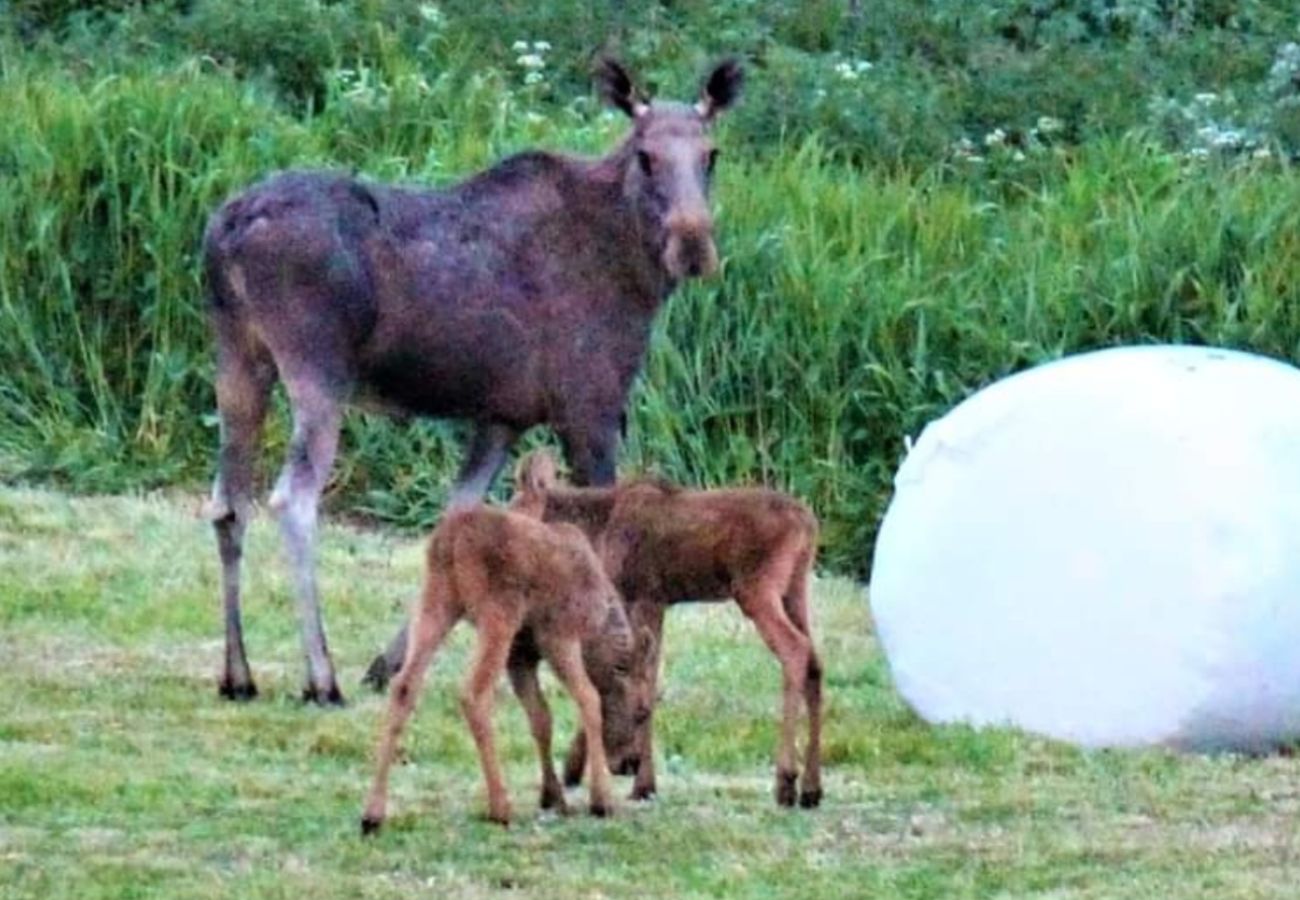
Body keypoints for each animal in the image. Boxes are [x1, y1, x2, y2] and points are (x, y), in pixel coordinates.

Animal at [195, 54, 743, 702]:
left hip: (238, 359)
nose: (693, 245)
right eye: (646, 156)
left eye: (711, 154)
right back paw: (320, 677)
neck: (636, 273)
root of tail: (227, 228)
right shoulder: (592, 408)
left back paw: (238, 674)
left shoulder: (502, 417)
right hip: (316, 368)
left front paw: (389, 663)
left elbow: (455, 517)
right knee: (292, 500)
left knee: (228, 503)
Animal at [514, 452, 821, 811]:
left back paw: (786, 780)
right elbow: (643, 678)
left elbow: (634, 678)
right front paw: (637, 778)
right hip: (795, 590)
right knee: (815, 662)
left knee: (795, 650)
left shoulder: (641, 596)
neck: (597, 529)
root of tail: (807, 523)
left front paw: (614, 772)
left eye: (514, 504)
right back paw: (812, 788)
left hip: (757, 589)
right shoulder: (658, 601)